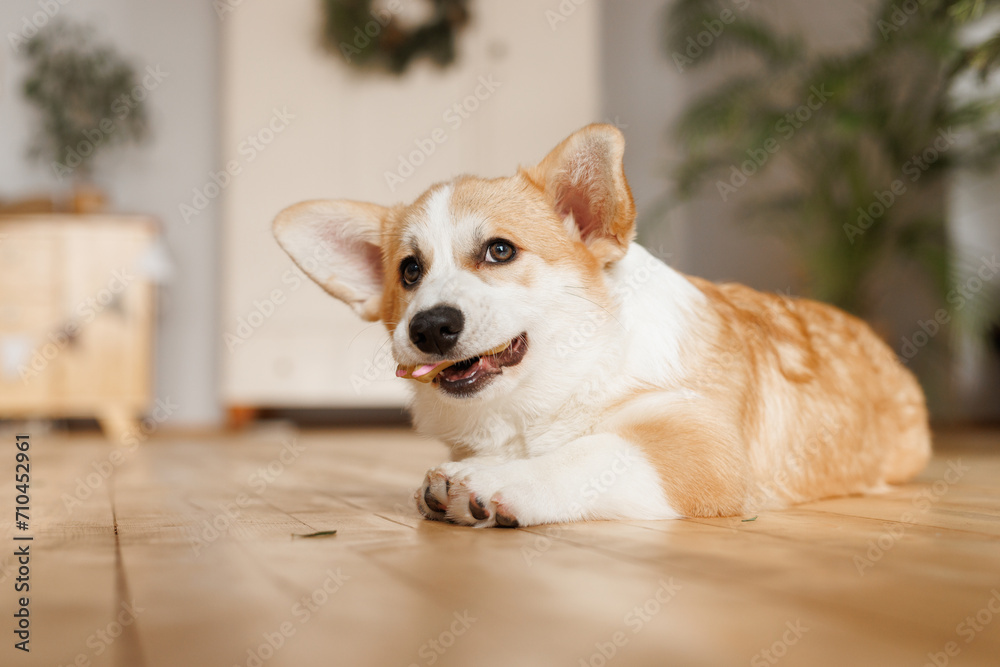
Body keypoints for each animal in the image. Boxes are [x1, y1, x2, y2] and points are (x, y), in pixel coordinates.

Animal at [274, 125, 928, 528]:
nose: (430, 327)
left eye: (499, 251)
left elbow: (589, 452)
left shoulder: (703, 448)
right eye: (409, 271)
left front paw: (491, 481)